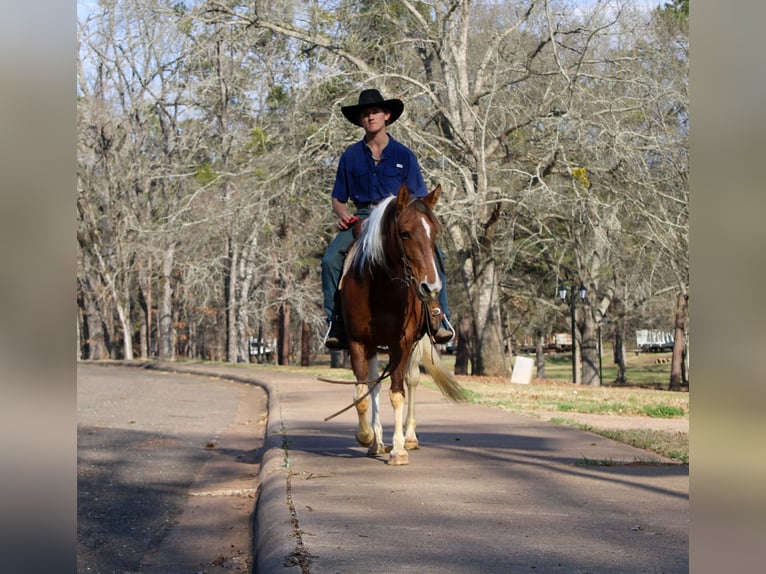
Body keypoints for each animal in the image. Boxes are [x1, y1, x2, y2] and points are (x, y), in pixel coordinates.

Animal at [338, 183, 466, 465]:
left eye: (435, 232)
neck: (381, 288)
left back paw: (409, 437)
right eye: (405, 233)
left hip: (416, 345)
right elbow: (362, 394)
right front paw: (367, 436)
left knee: (412, 380)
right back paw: (377, 441)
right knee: (374, 385)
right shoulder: (358, 342)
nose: (431, 287)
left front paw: (398, 449)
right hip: (374, 346)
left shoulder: (403, 343)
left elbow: (397, 392)